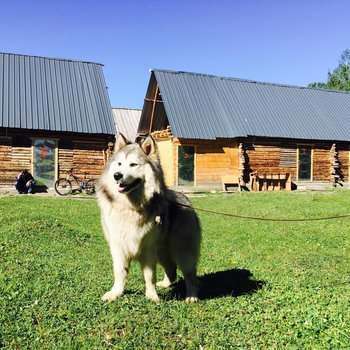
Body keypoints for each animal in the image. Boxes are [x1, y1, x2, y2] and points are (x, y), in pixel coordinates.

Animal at [96, 133, 202, 302]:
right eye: (119, 164)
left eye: (133, 164)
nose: (117, 176)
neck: (131, 207)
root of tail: (185, 198)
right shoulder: (118, 247)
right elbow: (120, 273)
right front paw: (116, 293)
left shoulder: (149, 249)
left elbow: (149, 275)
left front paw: (152, 296)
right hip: (164, 251)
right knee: (172, 270)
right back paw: (165, 284)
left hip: (182, 250)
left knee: (190, 275)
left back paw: (191, 296)